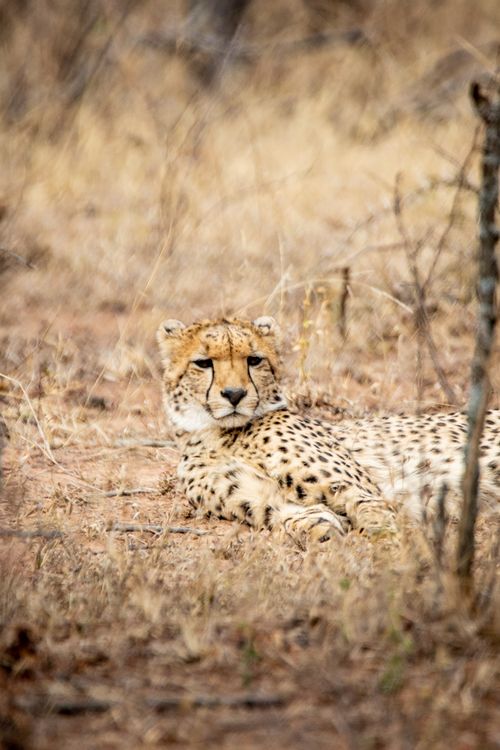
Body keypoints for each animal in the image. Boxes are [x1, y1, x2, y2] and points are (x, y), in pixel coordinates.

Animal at [157, 316, 500, 543]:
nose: (234, 394)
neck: (221, 435)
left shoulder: (359, 488)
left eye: (254, 360)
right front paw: (325, 534)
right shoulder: (265, 501)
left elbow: (374, 511)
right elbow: (300, 517)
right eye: (203, 363)